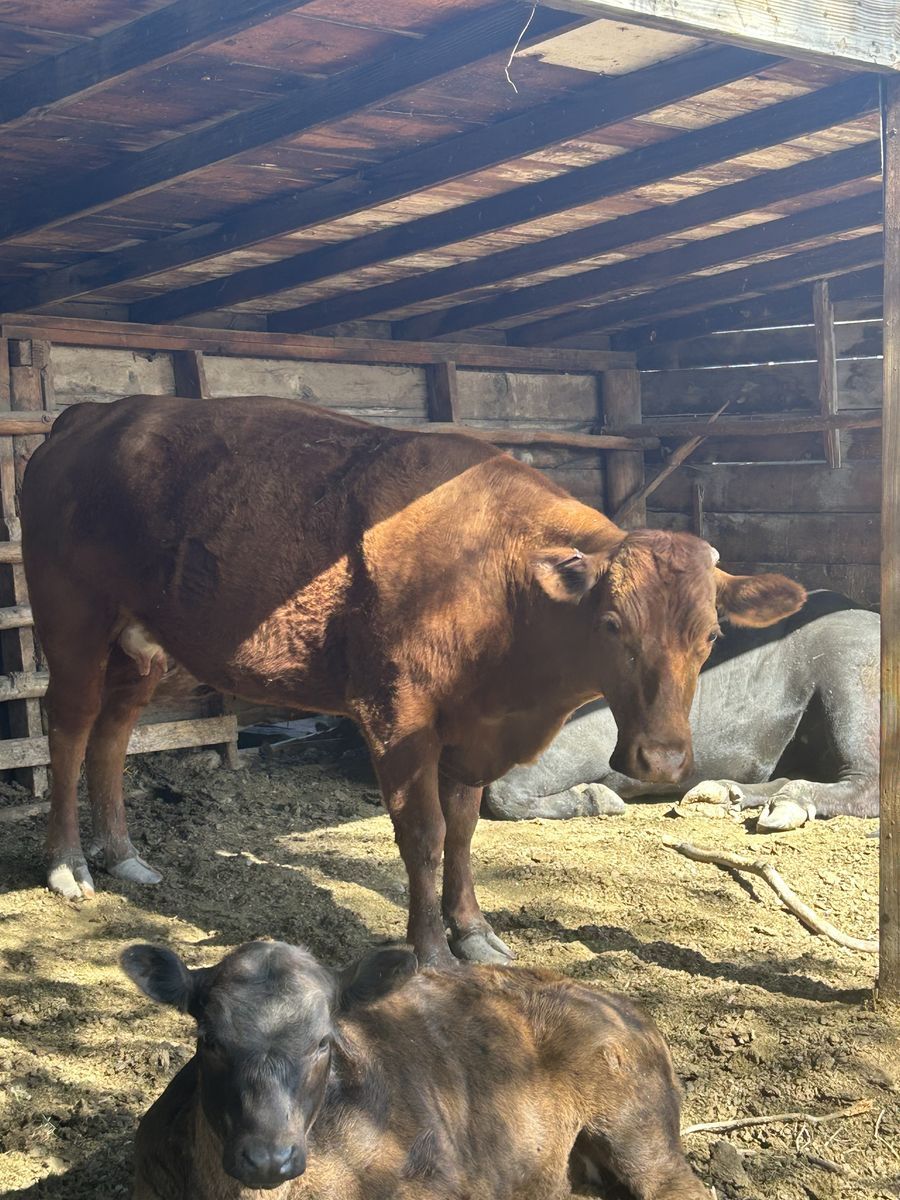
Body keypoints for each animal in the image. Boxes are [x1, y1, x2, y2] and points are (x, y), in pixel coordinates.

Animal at [21, 395, 804, 966]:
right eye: (612, 624)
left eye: (711, 635)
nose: (663, 760)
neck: (499, 581)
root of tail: (93, 416)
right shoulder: (397, 719)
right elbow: (423, 834)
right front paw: (429, 951)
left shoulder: (471, 729)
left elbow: (462, 833)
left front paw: (474, 932)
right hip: (73, 623)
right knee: (69, 728)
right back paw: (67, 865)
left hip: (142, 648)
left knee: (113, 735)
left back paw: (122, 856)